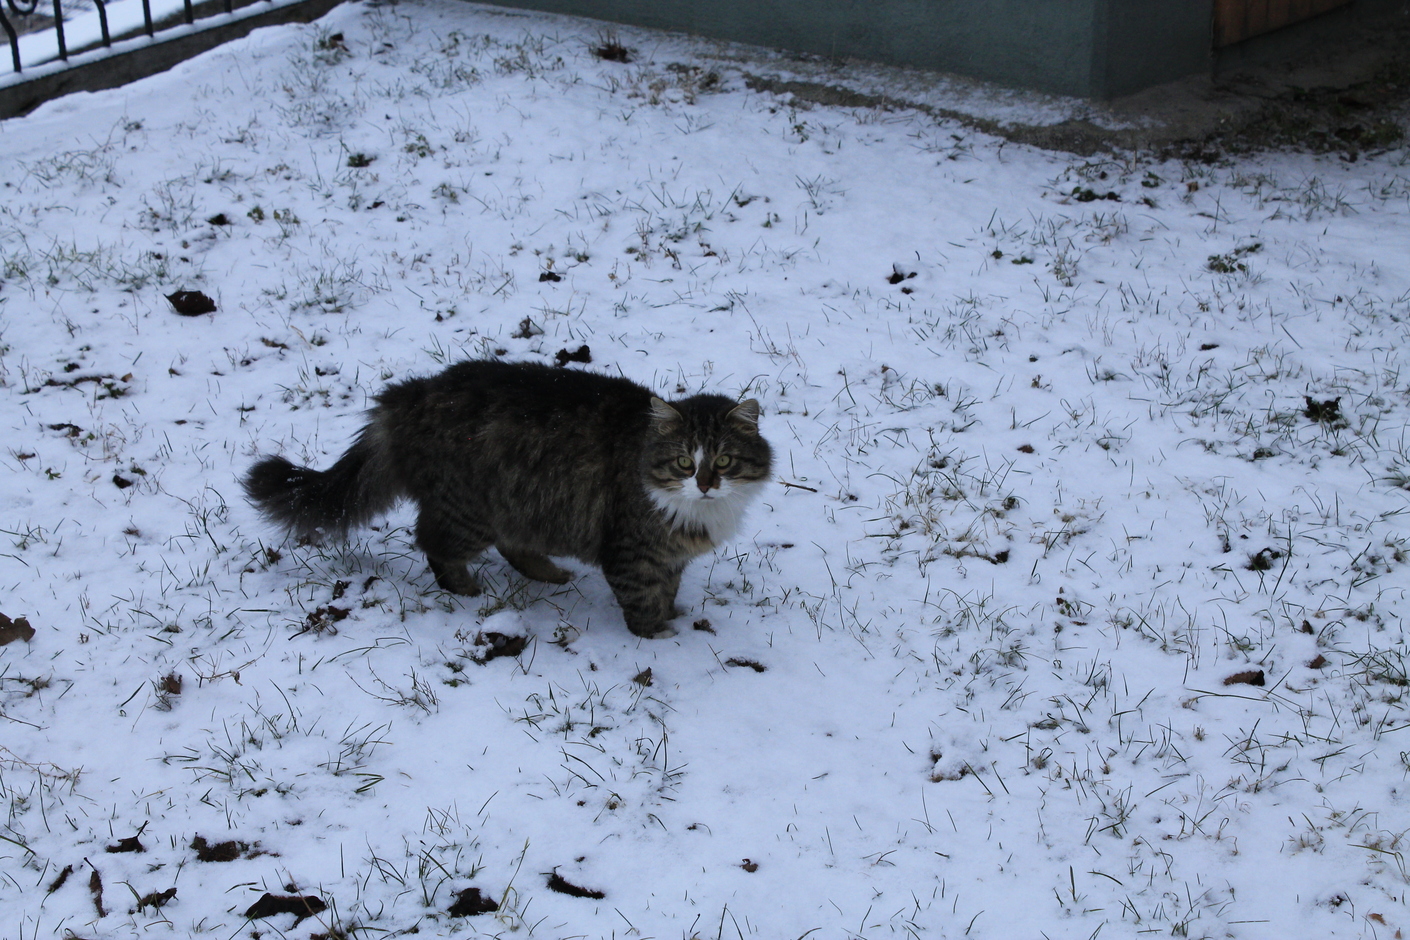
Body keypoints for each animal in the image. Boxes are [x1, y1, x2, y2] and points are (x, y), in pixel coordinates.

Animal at [243, 359, 773, 638]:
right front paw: (659, 636)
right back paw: (465, 588)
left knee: (511, 544)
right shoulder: (634, 552)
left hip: (526, 506)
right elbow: (643, 602)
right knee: (433, 542)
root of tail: (410, 395)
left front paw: (673, 616)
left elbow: (668, 591)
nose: (705, 483)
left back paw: (549, 573)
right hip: (469, 509)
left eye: (724, 461)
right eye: (684, 462)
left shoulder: (669, 557)